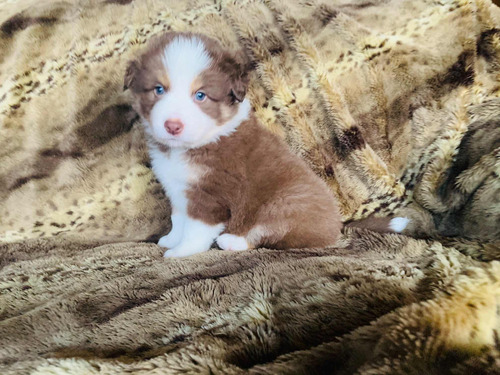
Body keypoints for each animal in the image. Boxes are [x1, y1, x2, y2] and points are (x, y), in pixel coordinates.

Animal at [125, 32, 410, 258]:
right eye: (158, 90)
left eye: (201, 95)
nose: (172, 125)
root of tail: (338, 224)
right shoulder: (178, 189)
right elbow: (178, 218)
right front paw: (170, 240)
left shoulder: (211, 195)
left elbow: (196, 229)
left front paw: (181, 252)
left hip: (284, 203)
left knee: (268, 234)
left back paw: (231, 241)